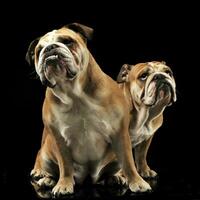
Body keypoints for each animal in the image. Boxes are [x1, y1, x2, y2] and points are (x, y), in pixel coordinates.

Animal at [25, 23, 150, 197]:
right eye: (39, 51)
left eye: (67, 41)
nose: (49, 49)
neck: (74, 93)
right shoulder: (58, 138)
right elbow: (65, 165)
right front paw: (63, 184)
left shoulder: (120, 133)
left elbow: (128, 162)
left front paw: (137, 182)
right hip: (46, 153)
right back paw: (48, 179)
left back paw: (115, 178)